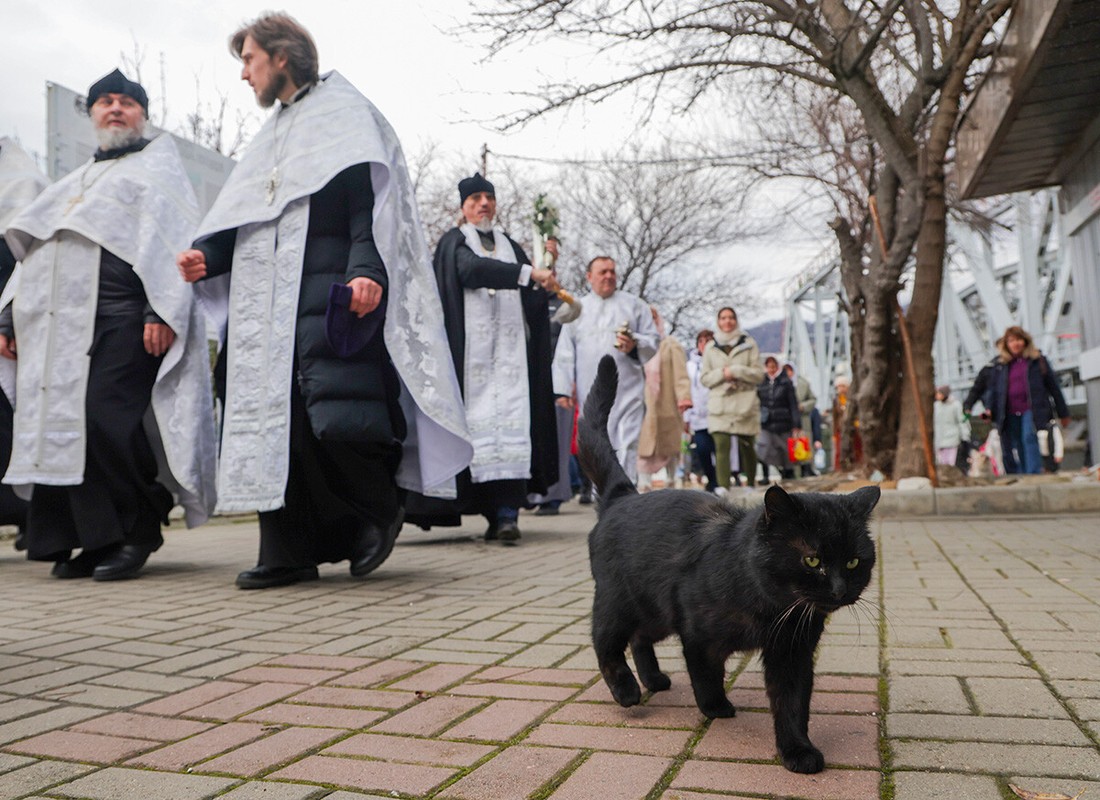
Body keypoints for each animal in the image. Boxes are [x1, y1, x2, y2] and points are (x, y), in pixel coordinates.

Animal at [580, 354, 880, 774]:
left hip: (656, 612)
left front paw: (798, 750)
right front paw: (715, 707)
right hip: (619, 601)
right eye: (813, 559)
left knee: (639, 638)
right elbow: (705, 673)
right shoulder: (697, 634)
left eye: (853, 562)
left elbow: (792, 703)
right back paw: (627, 690)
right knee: (604, 639)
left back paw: (654, 678)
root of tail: (621, 496)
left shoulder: (793, 651)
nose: (839, 589)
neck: (771, 609)